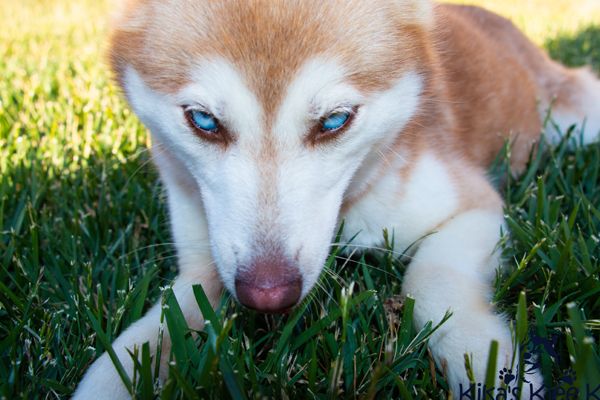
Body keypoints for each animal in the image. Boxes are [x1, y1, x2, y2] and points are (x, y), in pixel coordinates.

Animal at [76, 0, 600, 396]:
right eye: (203, 120)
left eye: (334, 120)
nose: (268, 293)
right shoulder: (202, 259)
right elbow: (157, 327)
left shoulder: (474, 206)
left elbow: (429, 278)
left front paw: (485, 363)